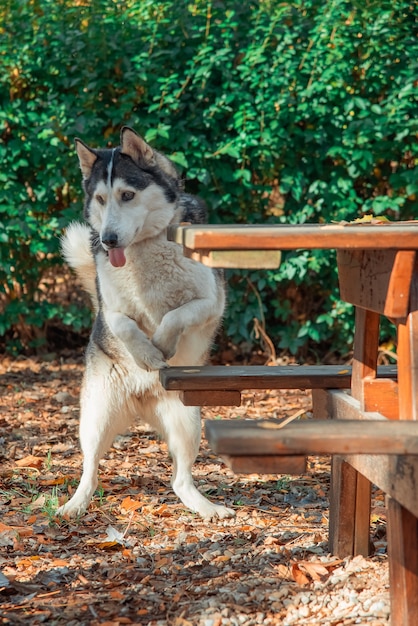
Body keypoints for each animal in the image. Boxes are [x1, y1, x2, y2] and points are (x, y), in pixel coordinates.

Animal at [57, 127, 235, 516]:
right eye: (101, 199)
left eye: (127, 195)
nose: (108, 240)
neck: (145, 249)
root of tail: (141, 399)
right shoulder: (110, 310)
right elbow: (126, 325)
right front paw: (148, 355)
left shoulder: (211, 301)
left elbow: (175, 314)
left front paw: (162, 345)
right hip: (95, 417)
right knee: (90, 470)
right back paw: (74, 505)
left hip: (188, 420)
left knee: (180, 480)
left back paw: (207, 508)